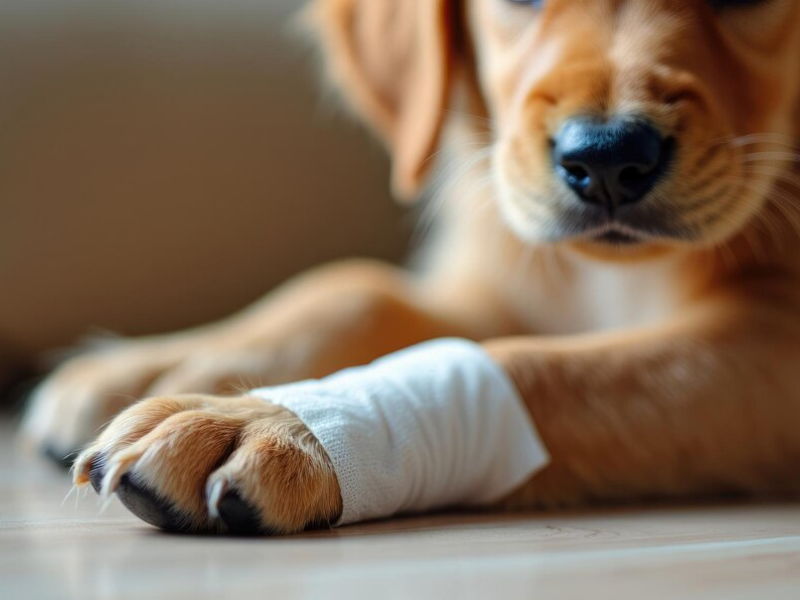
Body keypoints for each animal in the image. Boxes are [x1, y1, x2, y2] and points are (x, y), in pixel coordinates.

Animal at [21, 0, 800, 536]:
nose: (607, 157)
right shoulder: (503, 276)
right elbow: (357, 287)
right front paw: (161, 363)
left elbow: (556, 369)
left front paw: (273, 423)